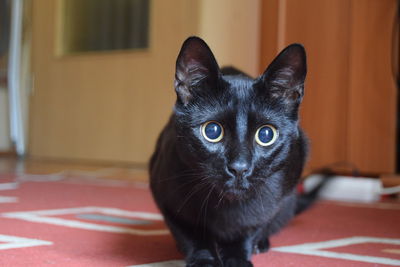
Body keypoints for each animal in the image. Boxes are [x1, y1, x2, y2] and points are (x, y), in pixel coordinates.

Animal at [150, 36, 310, 267]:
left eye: (266, 135)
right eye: (212, 131)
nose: (239, 167)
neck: (226, 205)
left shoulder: (274, 201)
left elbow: (248, 229)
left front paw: (237, 258)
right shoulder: (166, 197)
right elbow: (192, 233)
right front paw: (204, 260)